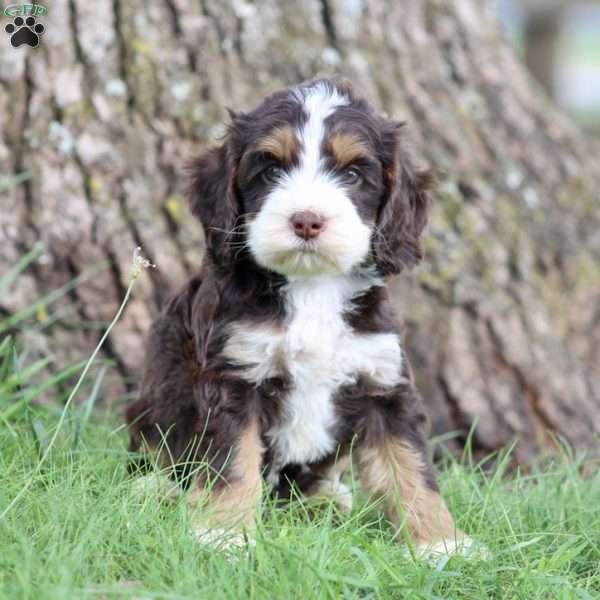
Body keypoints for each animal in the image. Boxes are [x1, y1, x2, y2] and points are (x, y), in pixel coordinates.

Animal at [126, 77, 472, 556]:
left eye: (352, 175)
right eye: (271, 170)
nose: (307, 220)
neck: (313, 287)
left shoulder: (383, 383)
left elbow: (412, 466)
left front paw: (441, 544)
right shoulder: (235, 377)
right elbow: (233, 463)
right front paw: (224, 533)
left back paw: (324, 501)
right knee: (153, 455)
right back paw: (155, 490)